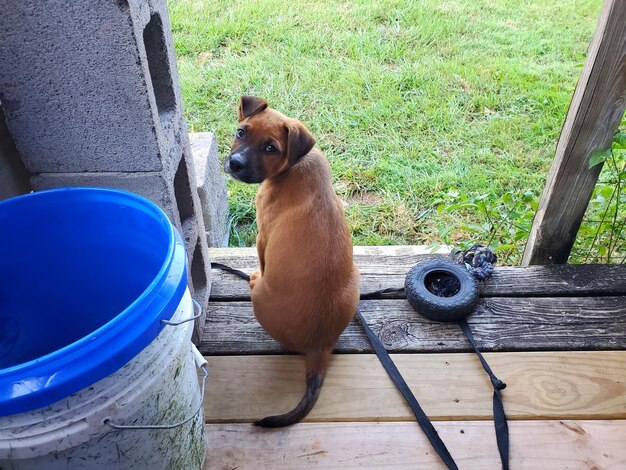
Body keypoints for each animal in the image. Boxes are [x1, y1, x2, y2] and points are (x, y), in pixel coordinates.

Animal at [225, 97, 360, 428]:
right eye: (241, 132)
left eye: (270, 148)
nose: (235, 164)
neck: (296, 164)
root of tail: (318, 349)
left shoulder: (262, 236)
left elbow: (261, 263)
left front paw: (253, 274)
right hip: (356, 278)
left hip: (261, 299)